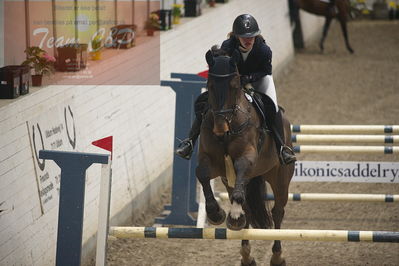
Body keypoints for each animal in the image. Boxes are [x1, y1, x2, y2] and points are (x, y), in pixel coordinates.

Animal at [198, 48, 296, 266]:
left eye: (234, 87)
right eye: (210, 86)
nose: (220, 129)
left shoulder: (247, 158)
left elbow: (242, 167)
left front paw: (232, 214)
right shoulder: (214, 163)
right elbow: (202, 175)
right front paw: (216, 213)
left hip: (280, 178)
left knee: (278, 212)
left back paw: (277, 256)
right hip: (232, 181)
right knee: (248, 209)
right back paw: (246, 255)